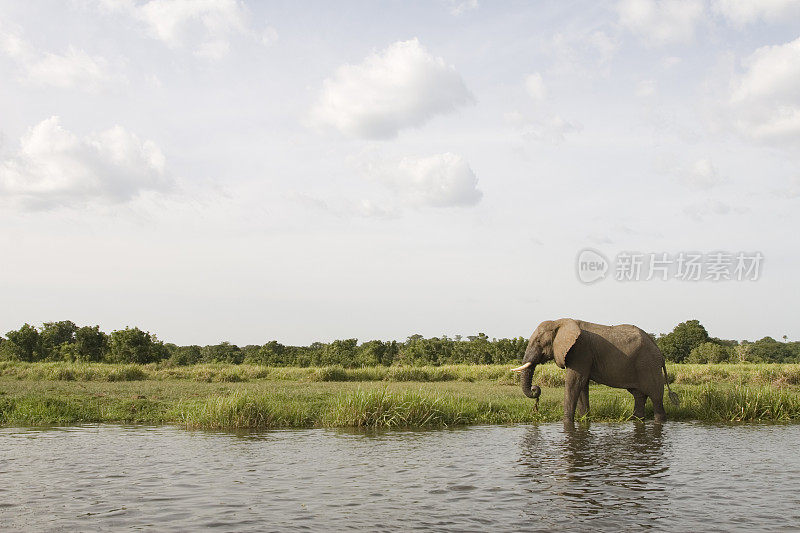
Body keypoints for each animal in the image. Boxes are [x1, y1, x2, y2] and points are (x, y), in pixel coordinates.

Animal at [512, 316, 676, 424]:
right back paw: (636, 420)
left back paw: (659, 421)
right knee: (639, 396)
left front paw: (567, 423)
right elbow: (581, 385)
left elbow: (574, 382)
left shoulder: (580, 350)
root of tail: (660, 353)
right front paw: (584, 420)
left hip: (649, 366)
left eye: (539, 341)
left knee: (656, 397)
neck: (560, 322)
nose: (536, 389)